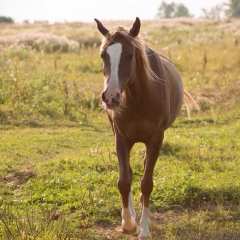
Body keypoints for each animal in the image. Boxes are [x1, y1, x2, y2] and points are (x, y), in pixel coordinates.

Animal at [94, 17, 184, 239]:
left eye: (129, 54)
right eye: (103, 55)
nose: (111, 97)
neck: (139, 98)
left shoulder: (156, 139)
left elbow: (146, 183)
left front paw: (143, 228)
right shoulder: (121, 139)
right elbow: (124, 181)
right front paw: (128, 223)